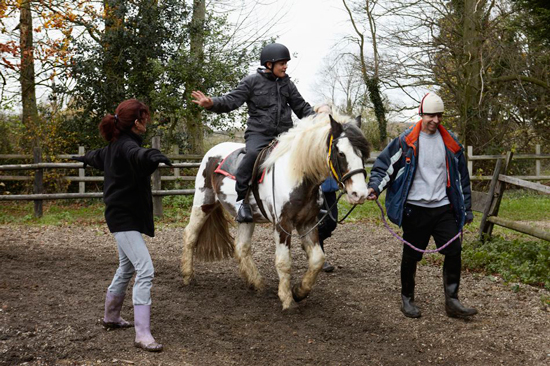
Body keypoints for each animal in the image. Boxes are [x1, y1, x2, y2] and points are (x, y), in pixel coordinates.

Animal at [181, 111, 370, 308]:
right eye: (340, 153)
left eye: (363, 154)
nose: (359, 193)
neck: (296, 173)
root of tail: (212, 153)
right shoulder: (282, 225)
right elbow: (283, 262)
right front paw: (287, 300)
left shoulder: (307, 222)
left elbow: (317, 259)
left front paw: (299, 291)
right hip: (204, 203)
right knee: (190, 235)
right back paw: (188, 276)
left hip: (247, 218)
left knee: (241, 247)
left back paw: (256, 283)